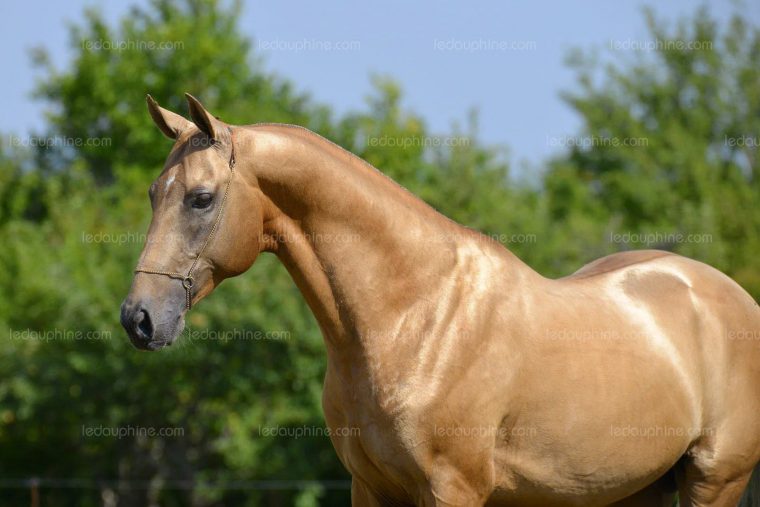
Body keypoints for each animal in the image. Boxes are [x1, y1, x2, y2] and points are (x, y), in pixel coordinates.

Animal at [120, 93, 760, 506]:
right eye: (152, 193)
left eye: (201, 198)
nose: (138, 319)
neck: (416, 318)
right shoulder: (371, 488)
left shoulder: (453, 489)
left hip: (713, 481)